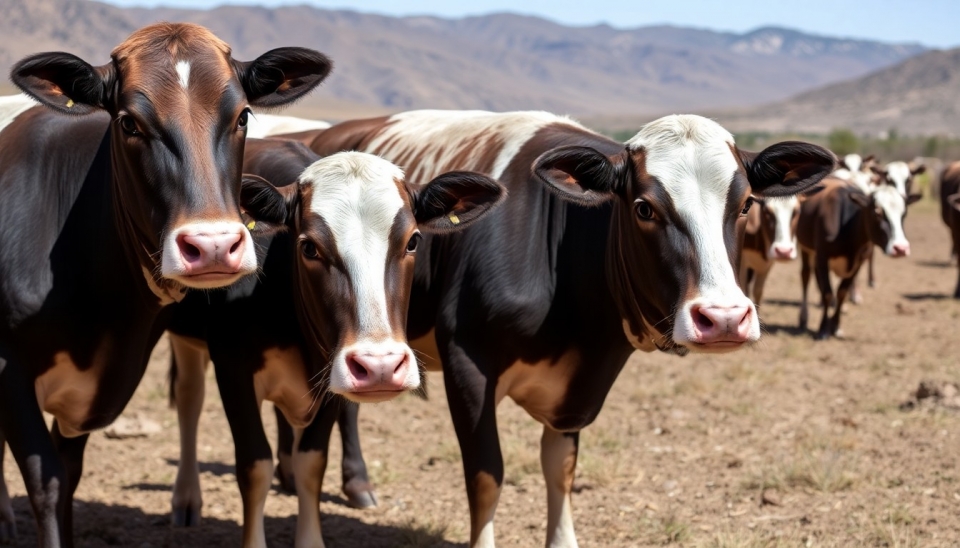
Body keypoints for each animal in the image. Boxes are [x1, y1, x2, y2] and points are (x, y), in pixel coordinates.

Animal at [0, 23, 334, 544]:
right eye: (128, 123)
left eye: (242, 115)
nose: (213, 246)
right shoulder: (9, 368)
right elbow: (47, 483)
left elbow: (69, 476)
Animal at [272, 109, 840, 544]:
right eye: (643, 207)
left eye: (745, 205)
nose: (722, 317)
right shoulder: (468, 365)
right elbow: (487, 476)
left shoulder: (578, 388)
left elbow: (560, 470)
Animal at [796, 177, 924, 338]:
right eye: (877, 213)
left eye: (904, 214)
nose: (901, 248)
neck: (847, 228)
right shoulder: (822, 257)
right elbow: (827, 293)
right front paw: (823, 328)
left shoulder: (859, 262)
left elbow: (842, 292)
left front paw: (835, 326)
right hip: (806, 248)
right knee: (806, 275)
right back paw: (803, 318)